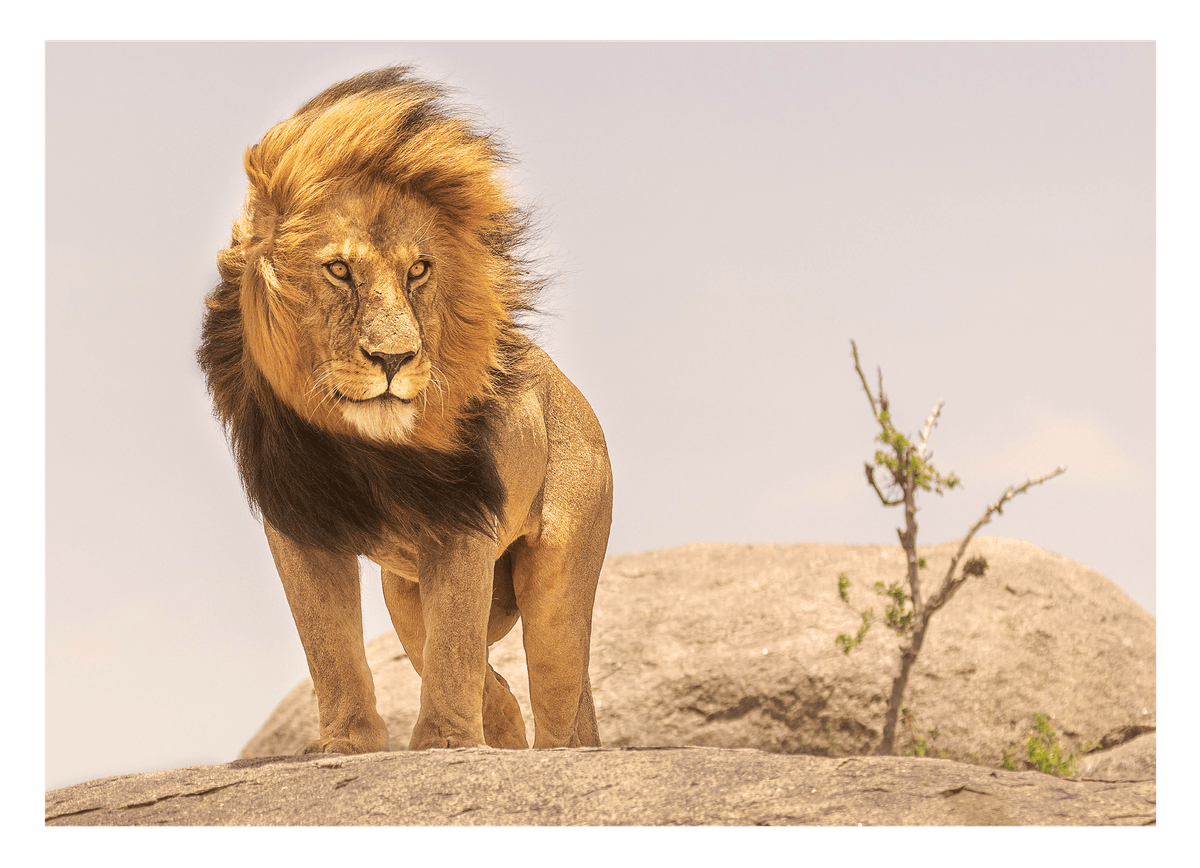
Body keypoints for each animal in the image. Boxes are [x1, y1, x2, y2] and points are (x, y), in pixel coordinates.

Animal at [198, 66, 612, 753]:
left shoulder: (460, 518)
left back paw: (551, 751)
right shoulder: (299, 520)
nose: (394, 358)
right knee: (477, 672)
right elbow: (331, 646)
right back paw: (499, 728)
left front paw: (445, 745)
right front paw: (347, 744)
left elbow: (454, 644)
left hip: (559, 574)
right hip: (404, 590)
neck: (360, 447)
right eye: (339, 269)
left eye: (419, 270)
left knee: (558, 691)